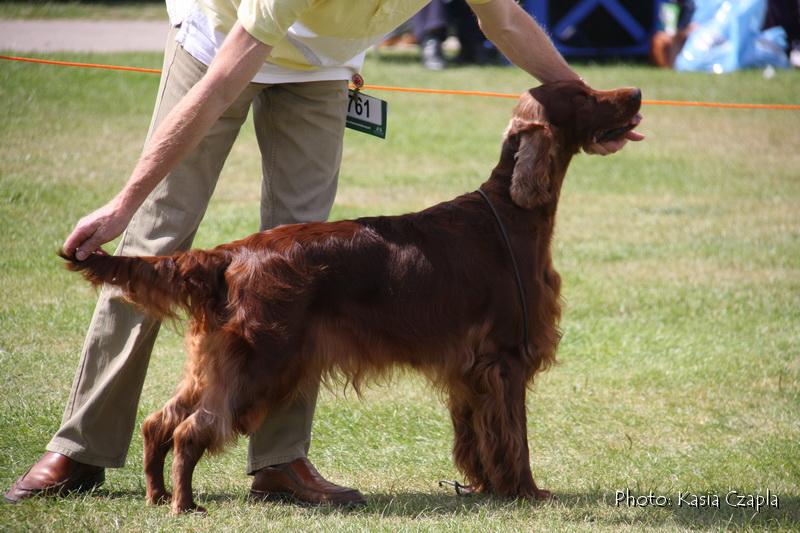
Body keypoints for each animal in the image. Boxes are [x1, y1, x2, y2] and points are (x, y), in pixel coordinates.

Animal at [59, 80, 640, 512]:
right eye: (584, 93)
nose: (635, 93)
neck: (511, 210)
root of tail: (232, 253)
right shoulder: (505, 358)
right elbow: (513, 435)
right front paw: (525, 491)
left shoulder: (469, 369)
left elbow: (476, 436)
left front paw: (484, 486)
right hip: (262, 363)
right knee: (191, 430)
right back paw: (184, 505)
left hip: (220, 362)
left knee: (160, 421)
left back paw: (159, 496)